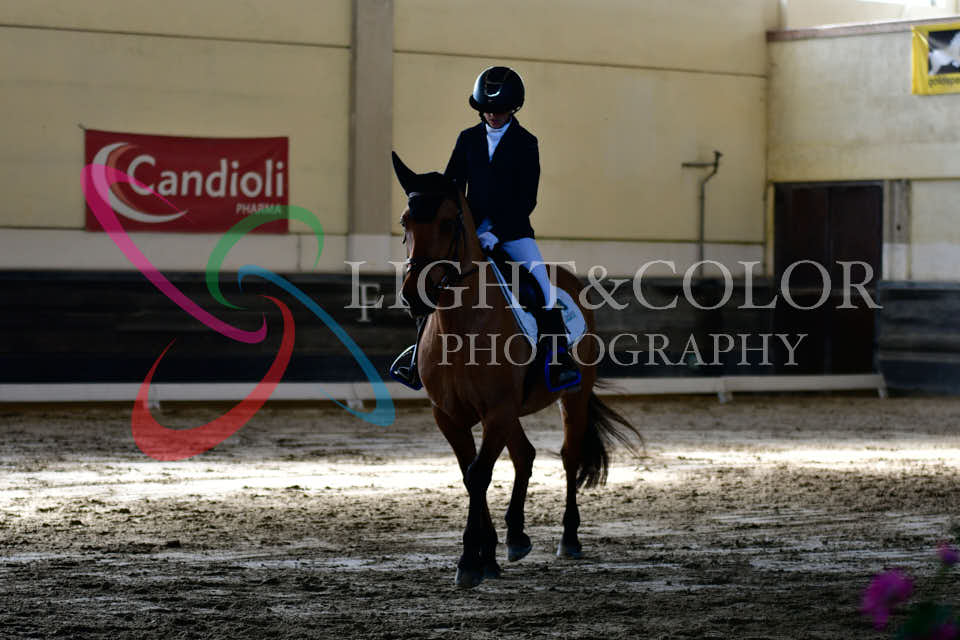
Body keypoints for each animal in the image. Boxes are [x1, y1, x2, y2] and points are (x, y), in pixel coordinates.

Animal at [391, 152, 640, 588]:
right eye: (406, 220)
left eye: (449, 221)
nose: (414, 295)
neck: (461, 326)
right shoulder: (450, 416)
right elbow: (470, 473)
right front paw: (484, 556)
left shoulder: (497, 410)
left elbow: (478, 474)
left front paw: (469, 562)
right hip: (510, 413)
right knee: (524, 454)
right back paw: (514, 539)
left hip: (571, 397)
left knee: (569, 456)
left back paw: (568, 539)